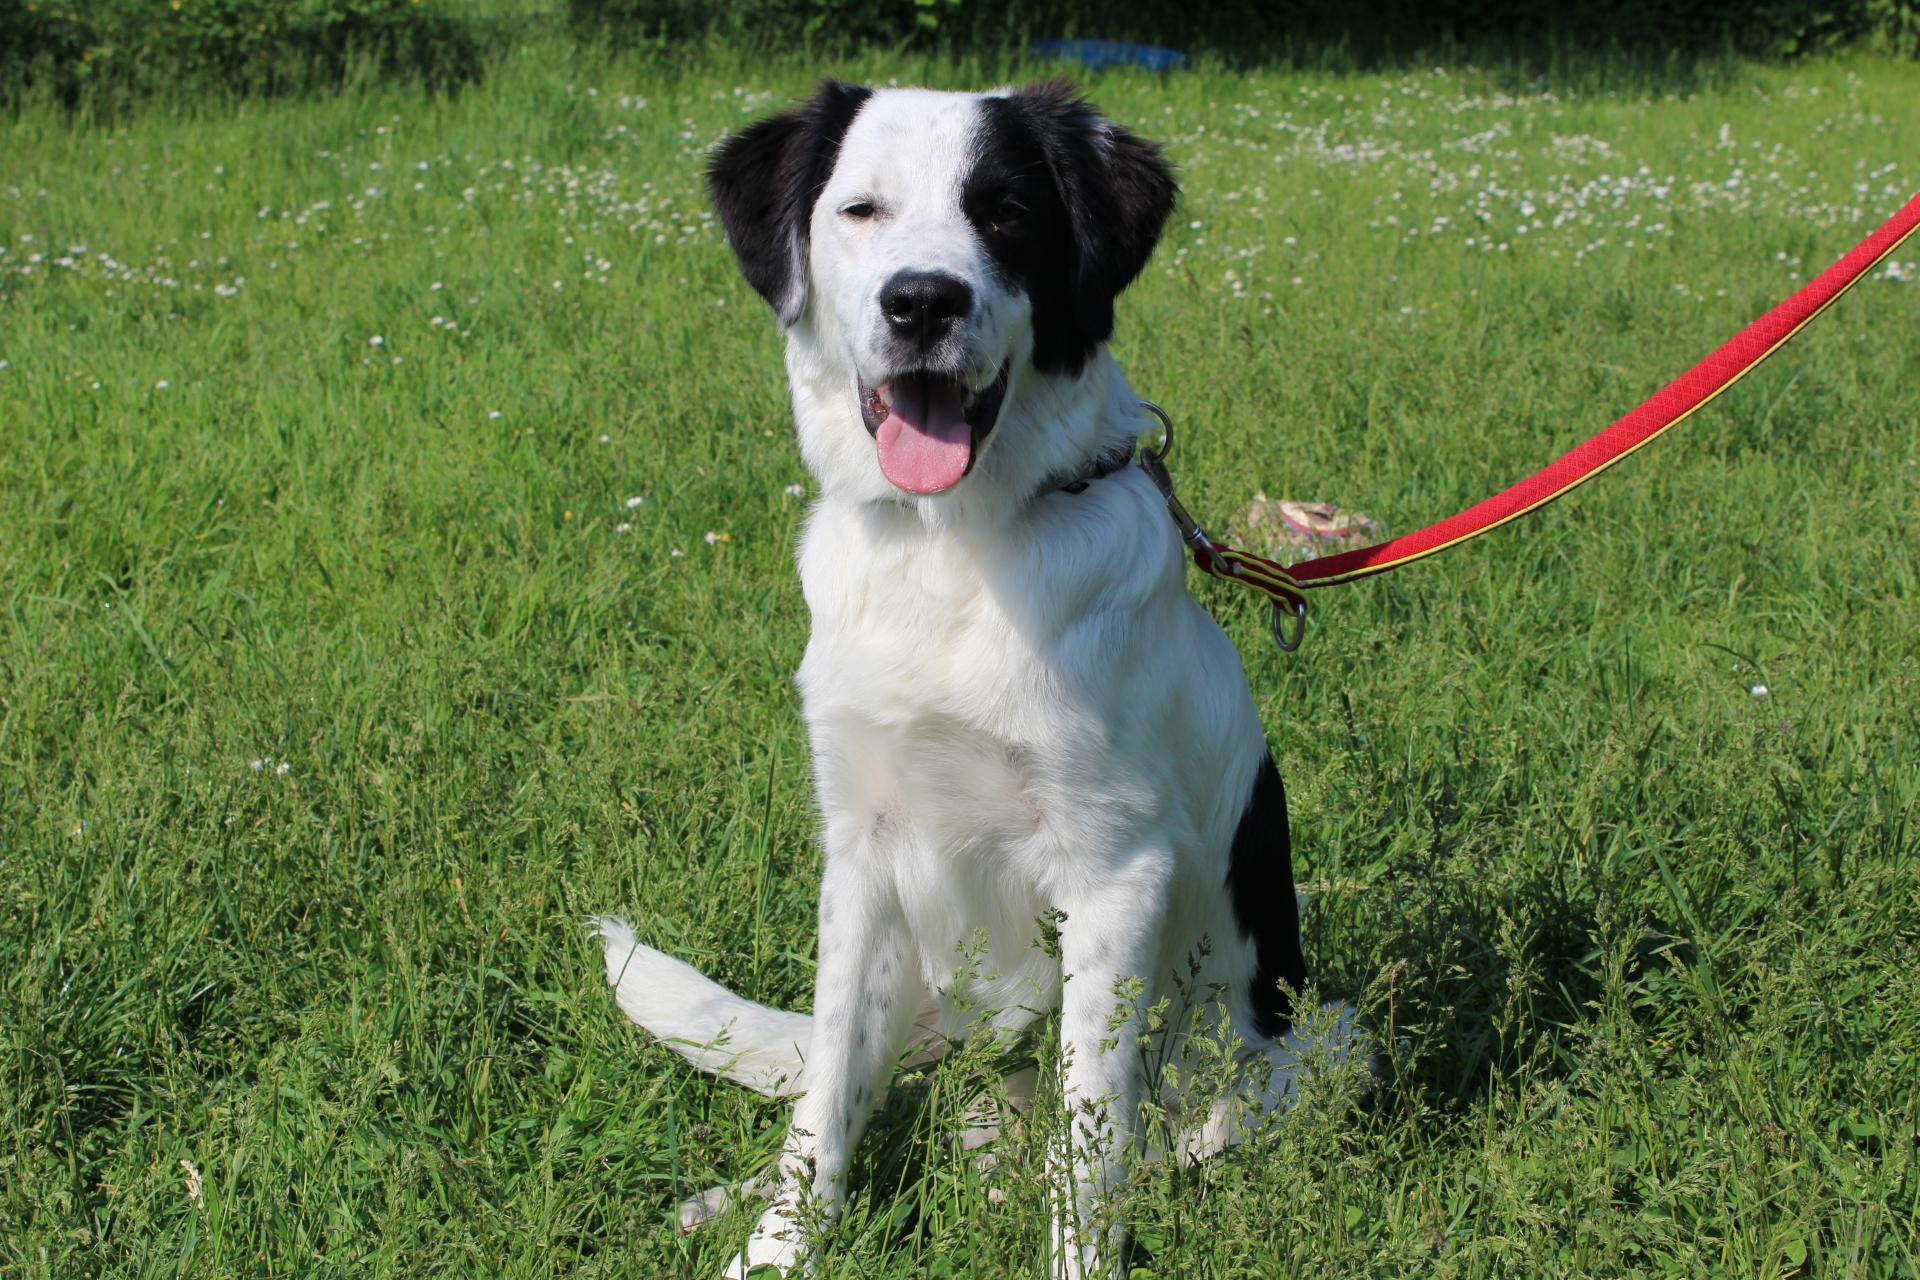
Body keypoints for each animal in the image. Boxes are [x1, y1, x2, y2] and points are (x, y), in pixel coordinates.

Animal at [591, 82, 1359, 1280]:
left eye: (1007, 213)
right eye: (861, 209)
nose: (921, 302)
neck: (948, 551)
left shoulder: (1113, 873)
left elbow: (1090, 1144)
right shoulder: (862, 851)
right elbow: (828, 1100)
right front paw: (778, 1247)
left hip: (1322, 1040)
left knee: (1173, 1130)